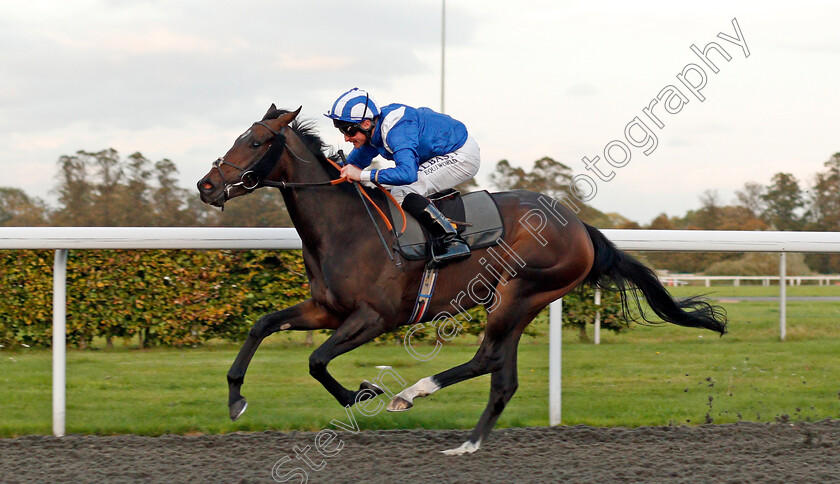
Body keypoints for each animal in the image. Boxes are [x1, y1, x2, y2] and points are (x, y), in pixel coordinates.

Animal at [199, 105, 728, 454]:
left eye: (256, 143)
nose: (206, 185)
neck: (346, 227)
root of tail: (580, 226)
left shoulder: (375, 317)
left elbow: (316, 359)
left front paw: (363, 393)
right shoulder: (326, 309)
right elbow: (262, 326)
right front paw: (235, 399)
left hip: (520, 292)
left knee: (487, 358)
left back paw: (412, 395)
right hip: (521, 301)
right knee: (503, 378)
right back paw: (468, 444)